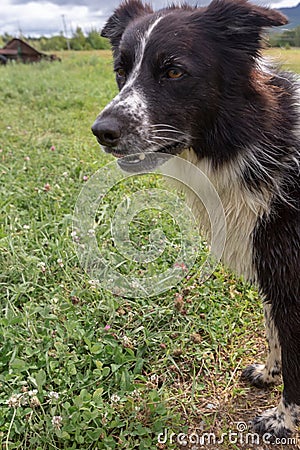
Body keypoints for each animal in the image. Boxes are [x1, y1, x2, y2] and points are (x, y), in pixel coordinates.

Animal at [91, 0, 300, 440]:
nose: (102, 132)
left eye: (174, 71)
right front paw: (269, 373)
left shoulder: (290, 280)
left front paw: (283, 419)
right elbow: (273, 332)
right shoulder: (271, 272)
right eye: (121, 70)